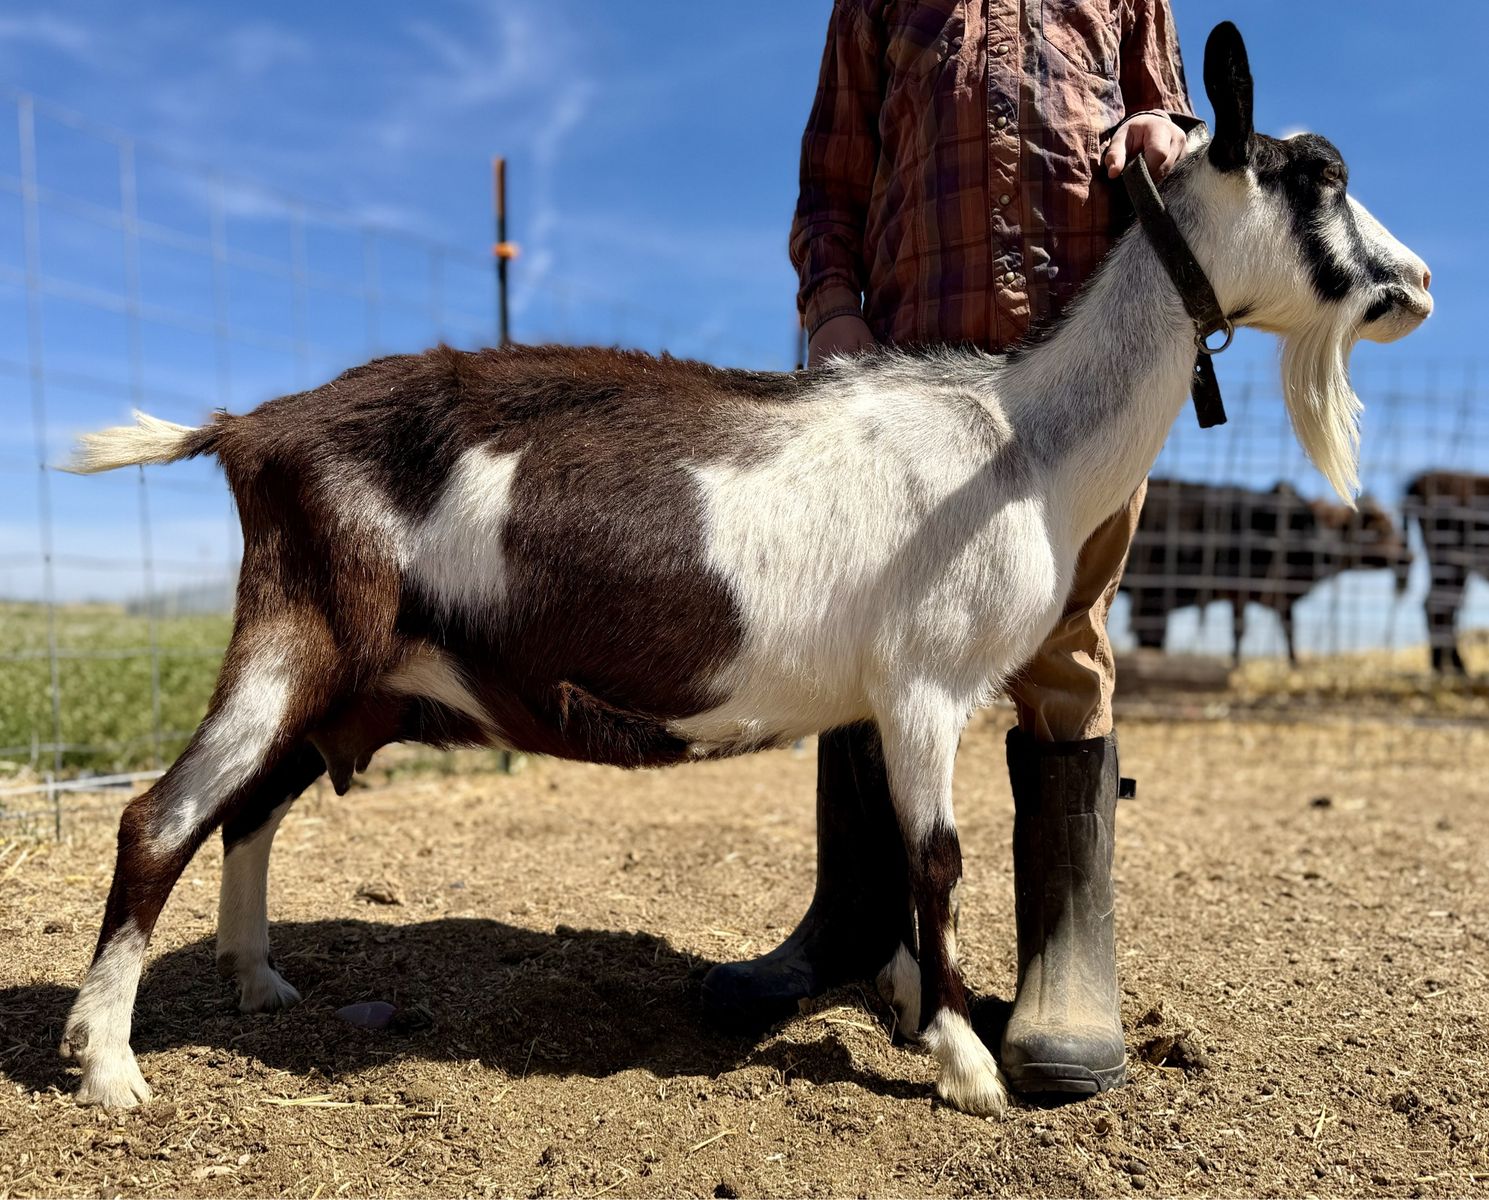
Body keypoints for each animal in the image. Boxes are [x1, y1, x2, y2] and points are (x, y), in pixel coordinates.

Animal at [59, 24, 1430, 1116]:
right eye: (1319, 177)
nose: (1416, 282)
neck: (1019, 441)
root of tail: (252, 429)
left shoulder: (883, 696)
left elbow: (894, 846)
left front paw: (906, 1004)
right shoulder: (924, 682)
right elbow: (938, 860)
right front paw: (965, 1066)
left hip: (357, 673)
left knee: (251, 809)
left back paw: (254, 981)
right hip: (293, 635)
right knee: (161, 815)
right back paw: (110, 1065)